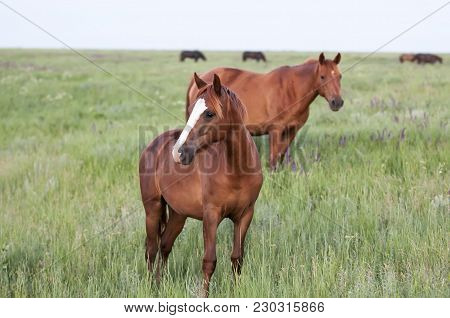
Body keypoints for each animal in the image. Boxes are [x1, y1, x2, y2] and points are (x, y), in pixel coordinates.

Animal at [139, 73, 262, 296]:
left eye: (209, 113)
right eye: (191, 111)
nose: (178, 152)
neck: (236, 172)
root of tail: (154, 145)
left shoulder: (245, 215)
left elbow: (237, 258)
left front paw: (236, 291)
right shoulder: (211, 216)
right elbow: (209, 261)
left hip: (178, 214)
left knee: (165, 245)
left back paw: (161, 284)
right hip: (152, 209)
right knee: (151, 249)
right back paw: (150, 287)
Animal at [186, 53, 344, 170]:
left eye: (340, 76)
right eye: (322, 76)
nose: (337, 102)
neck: (292, 90)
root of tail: (199, 80)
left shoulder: (292, 131)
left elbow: (280, 157)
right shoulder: (276, 130)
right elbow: (273, 160)